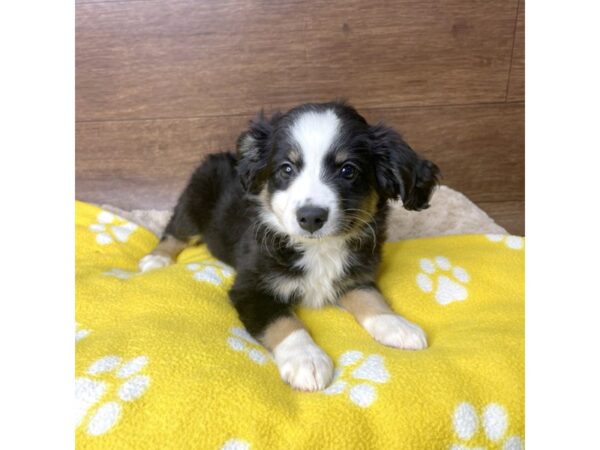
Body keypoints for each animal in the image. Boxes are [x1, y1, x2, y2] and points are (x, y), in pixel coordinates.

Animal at [141, 101, 440, 390]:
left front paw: (396, 325)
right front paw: (306, 360)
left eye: (348, 170)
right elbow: (283, 322)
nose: (311, 217)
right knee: (175, 231)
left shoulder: (355, 275)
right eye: (287, 168)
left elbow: (371, 298)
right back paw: (156, 259)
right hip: (194, 201)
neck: (318, 249)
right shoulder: (252, 288)